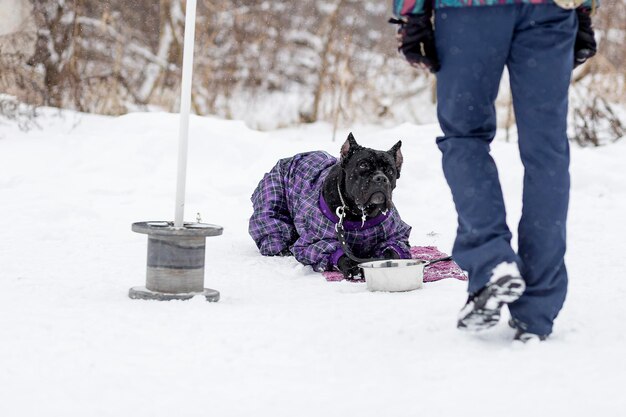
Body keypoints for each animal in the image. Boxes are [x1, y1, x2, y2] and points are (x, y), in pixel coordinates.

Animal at [249, 132, 410, 276]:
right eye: (363, 165)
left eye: (390, 170)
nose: (381, 178)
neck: (361, 214)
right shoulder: (315, 241)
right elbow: (337, 252)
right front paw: (352, 267)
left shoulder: (396, 237)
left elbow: (392, 252)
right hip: (273, 200)